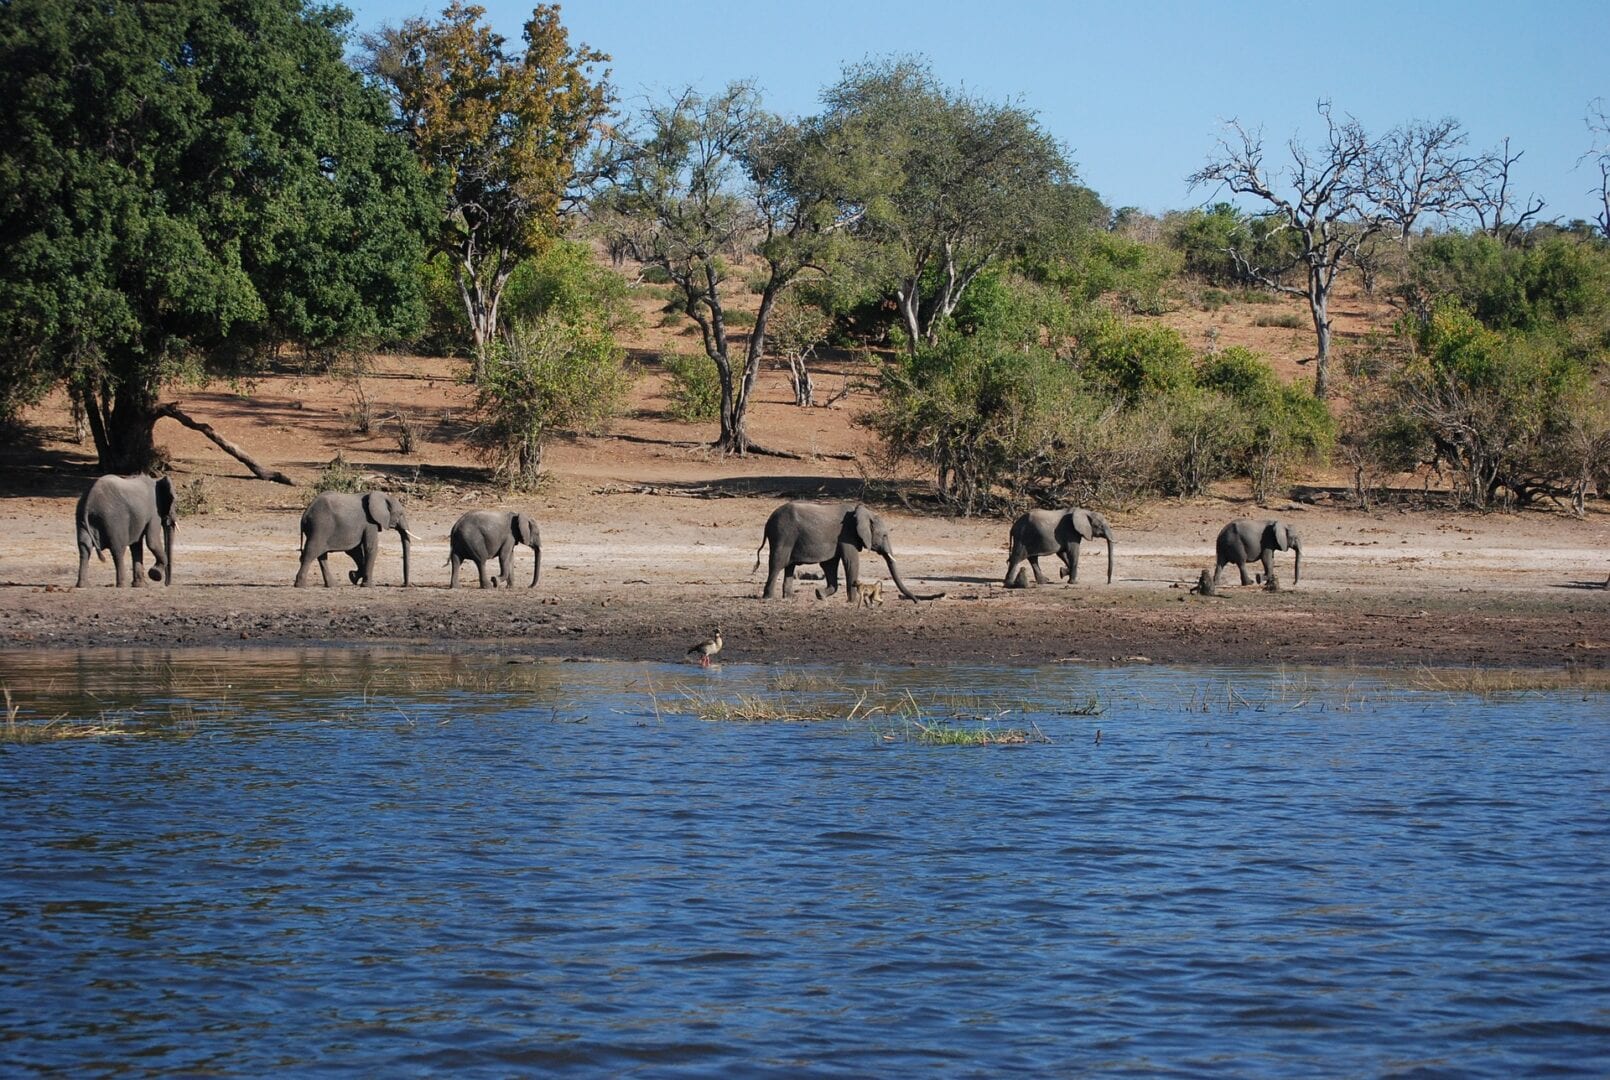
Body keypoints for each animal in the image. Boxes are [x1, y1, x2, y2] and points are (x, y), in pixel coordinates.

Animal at [750, 502, 940, 605]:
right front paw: (852, 601)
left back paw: (789, 598)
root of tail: (767, 522)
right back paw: (768, 598)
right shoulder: (847, 535)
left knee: (789, 566)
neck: (862, 511)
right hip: (783, 535)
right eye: (885, 535)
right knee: (778, 563)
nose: (916, 601)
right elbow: (851, 562)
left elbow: (830, 565)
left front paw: (819, 595)